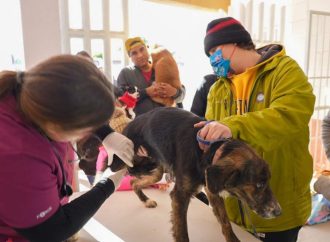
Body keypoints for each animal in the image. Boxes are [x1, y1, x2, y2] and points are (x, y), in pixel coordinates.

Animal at [111, 107, 282, 242]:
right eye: (259, 184)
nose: (279, 212)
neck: (210, 150)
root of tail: (131, 122)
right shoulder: (180, 196)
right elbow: (182, 234)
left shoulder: (211, 189)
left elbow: (226, 223)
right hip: (126, 160)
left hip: (155, 170)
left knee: (134, 182)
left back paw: (145, 200)